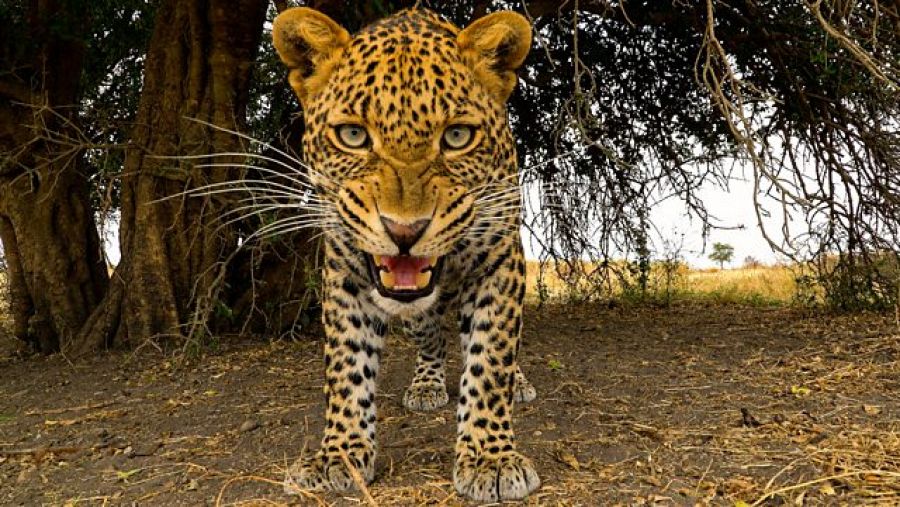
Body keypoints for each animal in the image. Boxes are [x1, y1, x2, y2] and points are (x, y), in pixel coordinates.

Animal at [272, 6, 538, 502]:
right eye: (353, 135)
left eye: (457, 136)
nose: (404, 230)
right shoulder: (344, 272)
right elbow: (346, 366)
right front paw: (339, 453)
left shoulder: (500, 261)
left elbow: (491, 359)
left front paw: (490, 458)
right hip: (415, 316)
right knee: (431, 338)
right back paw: (428, 383)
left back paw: (518, 383)